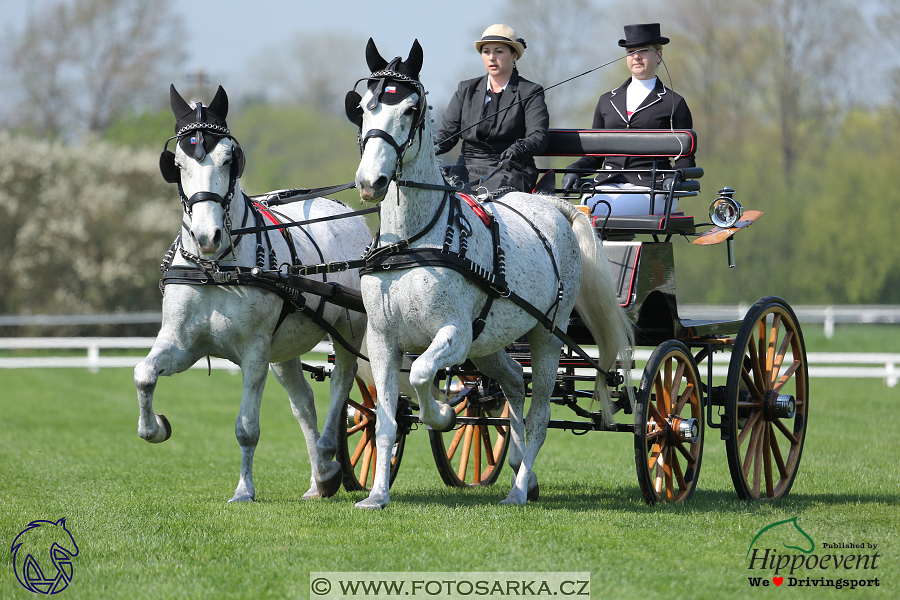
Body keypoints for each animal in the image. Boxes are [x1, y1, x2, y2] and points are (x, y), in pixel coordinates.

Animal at [134, 85, 372, 502]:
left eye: (229, 158)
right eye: (178, 163)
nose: (207, 236)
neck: (215, 268)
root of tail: (344, 209)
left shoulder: (254, 354)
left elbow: (246, 427)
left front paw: (244, 489)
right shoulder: (182, 344)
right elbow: (144, 374)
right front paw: (156, 427)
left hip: (348, 331)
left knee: (342, 385)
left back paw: (329, 453)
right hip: (285, 350)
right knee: (304, 404)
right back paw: (322, 477)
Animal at [348, 38, 636, 506]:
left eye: (409, 109)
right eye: (364, 107)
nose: (370, 182)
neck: (411, 244)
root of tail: (555, 206)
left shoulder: (454, 334)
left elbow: (424, 374)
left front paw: (442, 412)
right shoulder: (382, 341)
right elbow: (386, 420)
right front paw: (377, 495)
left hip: (546, 335)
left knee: (539, 413)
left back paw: (519, 489)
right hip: (489, 344)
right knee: (516, 382)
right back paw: (520, 467)